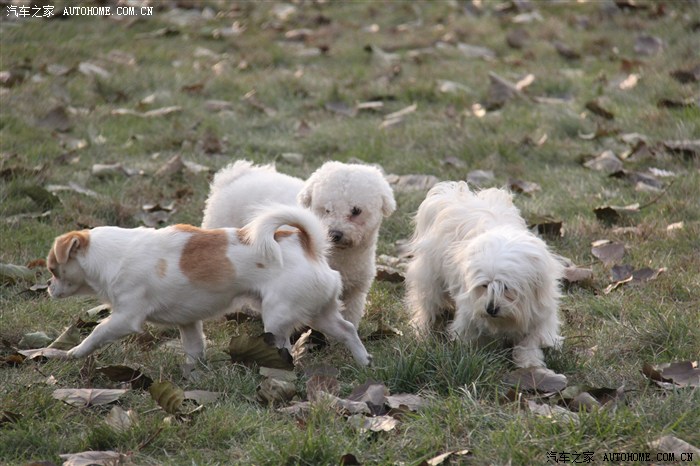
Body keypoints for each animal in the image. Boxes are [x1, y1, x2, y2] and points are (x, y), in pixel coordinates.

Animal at [46, 205, 372, 366]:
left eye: (52, 268)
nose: (47, 285)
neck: (113, 254)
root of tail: (309, 247)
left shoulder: (125, 318)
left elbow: (97, 334)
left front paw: (71, 354)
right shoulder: (189, 323)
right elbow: (194, 349)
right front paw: (193, 375)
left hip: (278, 317)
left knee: (285, 347)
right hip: (320, 312)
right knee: (346, 330)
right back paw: (363, 361)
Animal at [201, 160, 396, 328]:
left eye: (356, 211)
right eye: (327, 210)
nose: (335, 234)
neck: (337, 254)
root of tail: (234, 177)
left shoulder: (354, 291)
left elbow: (349, 317)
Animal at [405, 181, 563, 368]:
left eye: (507, 288)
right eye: (484, 285)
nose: (491, 309)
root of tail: (451, 194)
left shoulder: (539, 310)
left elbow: (530, 340)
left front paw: (530, 363)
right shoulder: (470, 308)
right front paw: (477, 355)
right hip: (430, 279)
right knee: (427, 304)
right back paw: (423, 331)